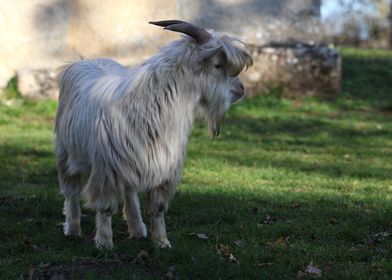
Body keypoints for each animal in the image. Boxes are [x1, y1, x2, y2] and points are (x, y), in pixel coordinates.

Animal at [55, 19, 253, 248]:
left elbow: (157, 208)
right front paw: (104, 243)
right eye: (218, 65)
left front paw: (162, 242)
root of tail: (82, 61)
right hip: (64, 152)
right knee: (71, 192)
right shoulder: (106, 169)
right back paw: (72, 229)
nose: (241, 90)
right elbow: (105, 208)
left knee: (129, 191)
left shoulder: (164, 166)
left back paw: (137, 229)